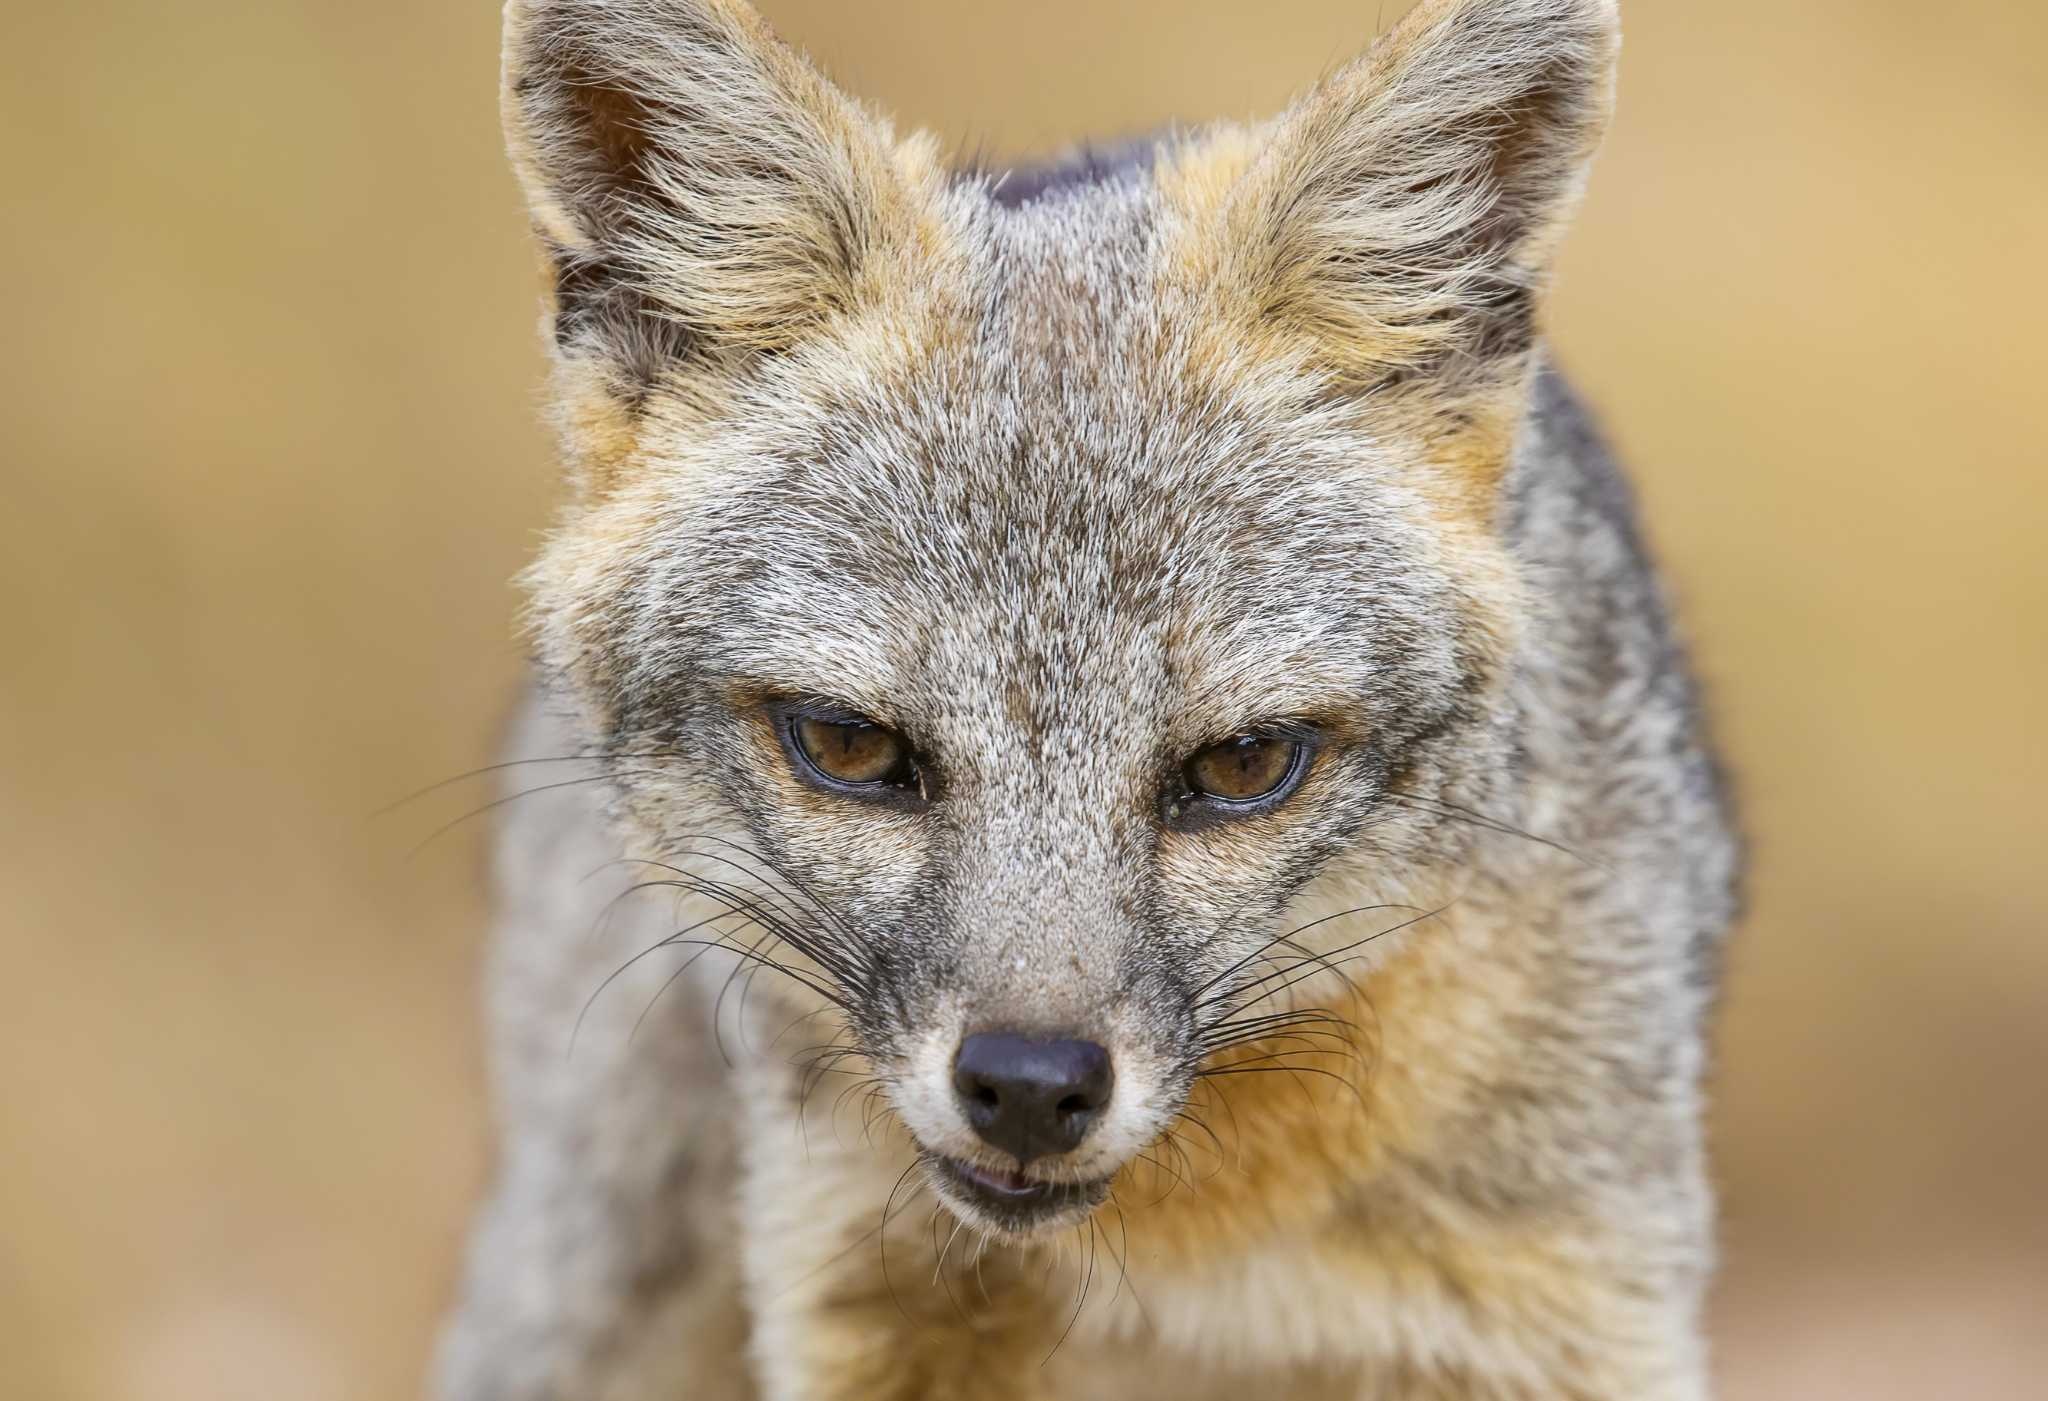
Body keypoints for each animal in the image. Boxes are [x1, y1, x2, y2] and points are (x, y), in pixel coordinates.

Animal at [436, 0, 1744, 1392]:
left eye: (1241, 765)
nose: (1026, 1088)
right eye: (847, 745)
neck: (1188, 1263)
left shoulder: (1563, 1309)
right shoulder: (852, 1302)